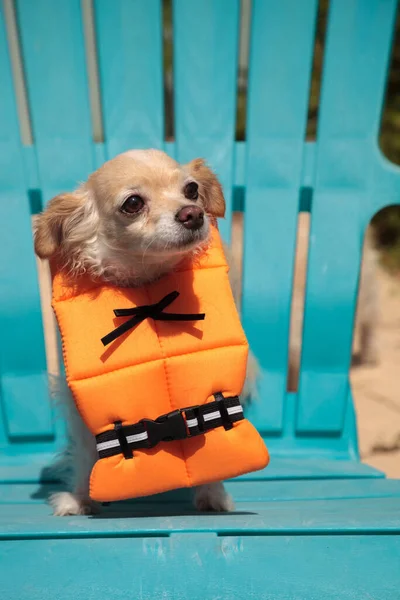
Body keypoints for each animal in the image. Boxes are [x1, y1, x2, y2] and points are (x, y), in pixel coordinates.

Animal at [34, 149, 250, 516]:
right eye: (133, 203)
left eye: (191, 190)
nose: (192, 213)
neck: (146, 282)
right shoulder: (79, 407)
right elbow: (86, 452)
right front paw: (79, 498)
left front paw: (213, 493)